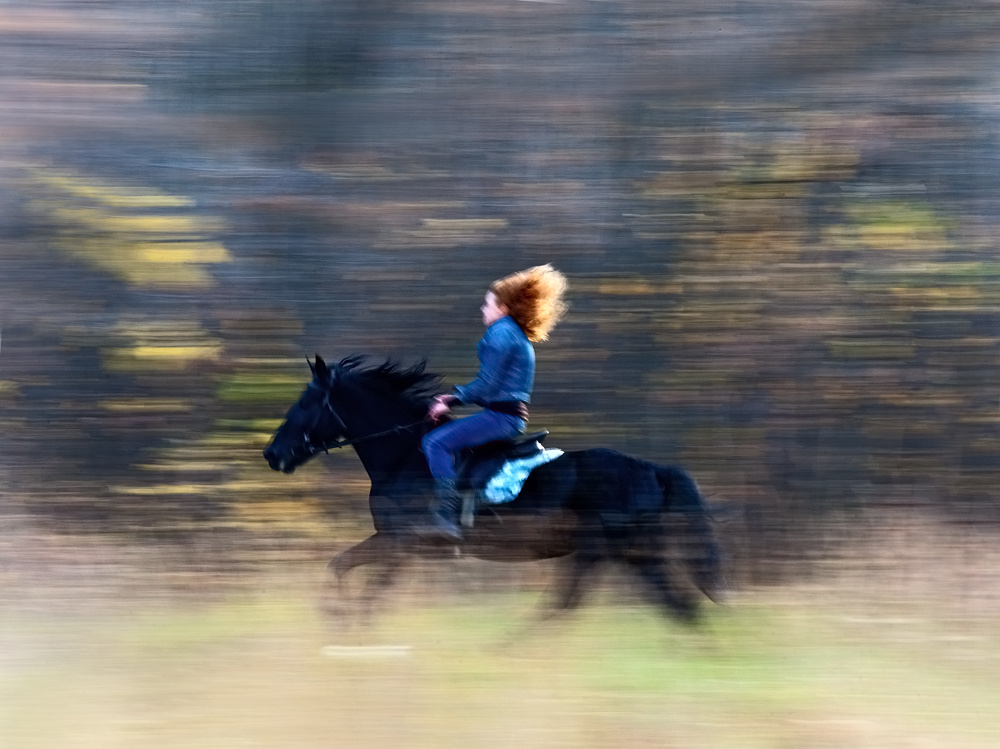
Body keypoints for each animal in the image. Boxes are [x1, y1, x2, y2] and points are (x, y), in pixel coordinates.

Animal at [263, 354, 724, 625]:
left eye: (305, 403)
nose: (272, 453)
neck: (403, 456)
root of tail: (653, 471)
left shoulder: (401, 543)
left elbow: (356, 584)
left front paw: (344, 624)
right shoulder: (399, 546)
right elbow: (342, 570)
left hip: (603, 551)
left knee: (569, 605)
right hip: (630, 554)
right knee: (676, 609)